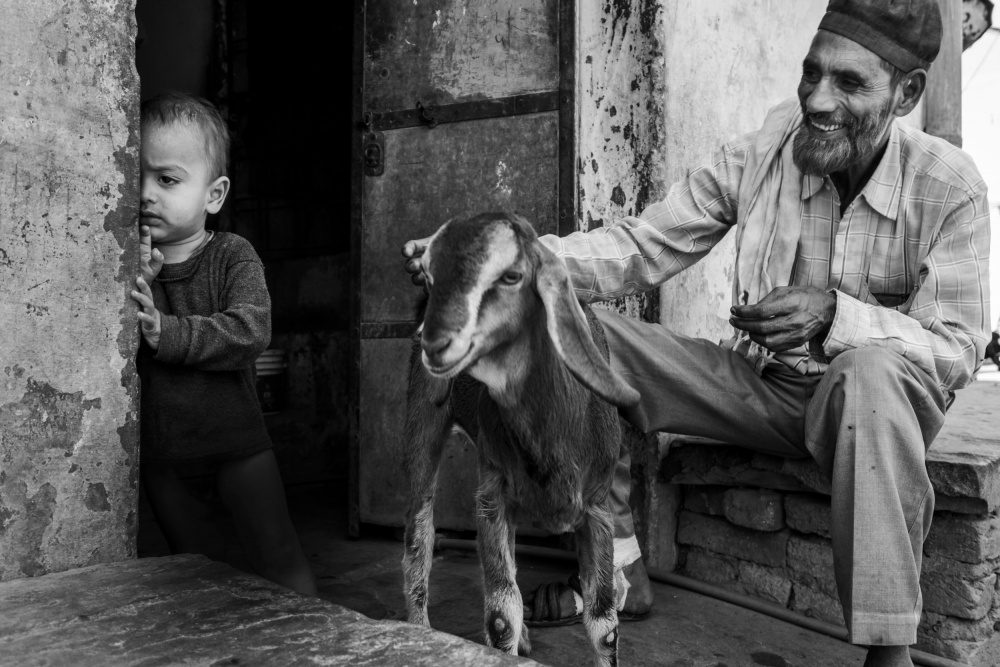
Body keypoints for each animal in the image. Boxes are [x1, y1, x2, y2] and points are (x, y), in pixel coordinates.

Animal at [400, 213, 640, 667]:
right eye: (430, 276)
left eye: (512, 276)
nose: (434, 342)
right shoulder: (492, 497)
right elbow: (501, 612)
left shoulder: (597, 508)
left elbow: (604, 623)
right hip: (423, 416)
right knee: (419, 535)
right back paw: (419, 631)